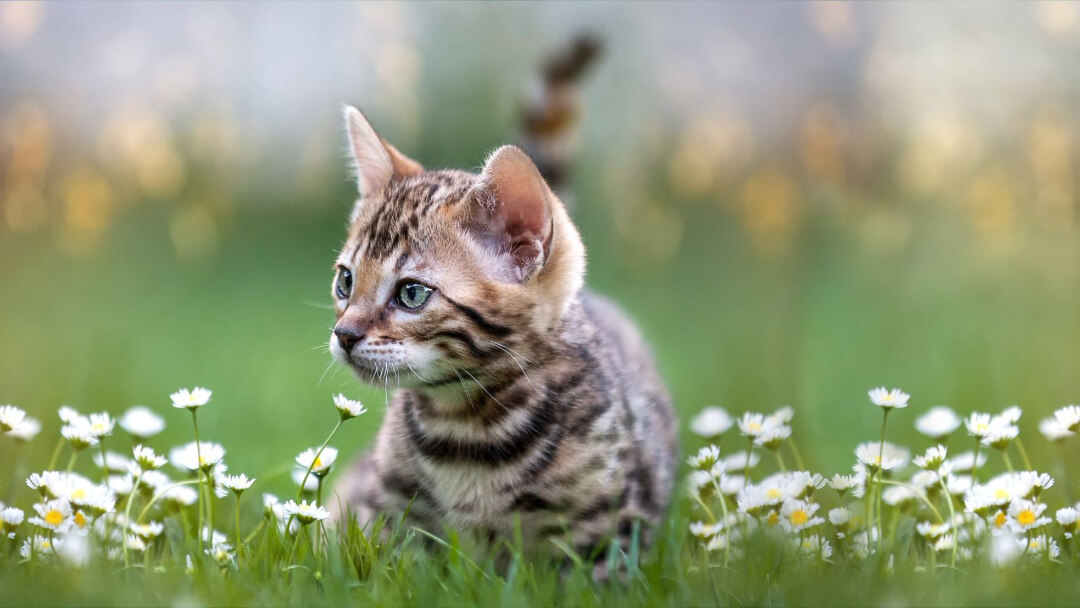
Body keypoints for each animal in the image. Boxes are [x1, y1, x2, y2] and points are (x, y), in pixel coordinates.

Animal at [328, 40, 673, 574]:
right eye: (346, 281)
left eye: (411, 294)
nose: (344, 335)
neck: (466, 429)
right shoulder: (386, 514)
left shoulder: (611, 532)